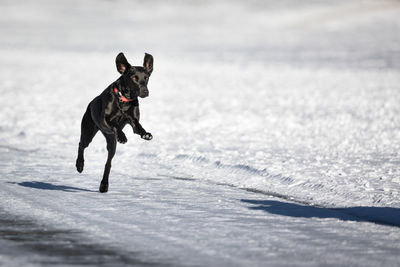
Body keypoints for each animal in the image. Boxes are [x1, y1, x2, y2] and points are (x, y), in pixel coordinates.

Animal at [76, 52, 153, 193]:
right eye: (134, 77)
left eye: (146, 77)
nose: (145, 91)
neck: (124, 100)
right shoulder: (105, 119)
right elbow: (115, 125)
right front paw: (122, 136)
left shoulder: (133, 121)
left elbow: (138, 127)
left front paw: (146, 134)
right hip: (88, 131)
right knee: (81, 145)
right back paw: (79, 165)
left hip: (111, 142)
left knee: (108, 163)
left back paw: (104, 185)